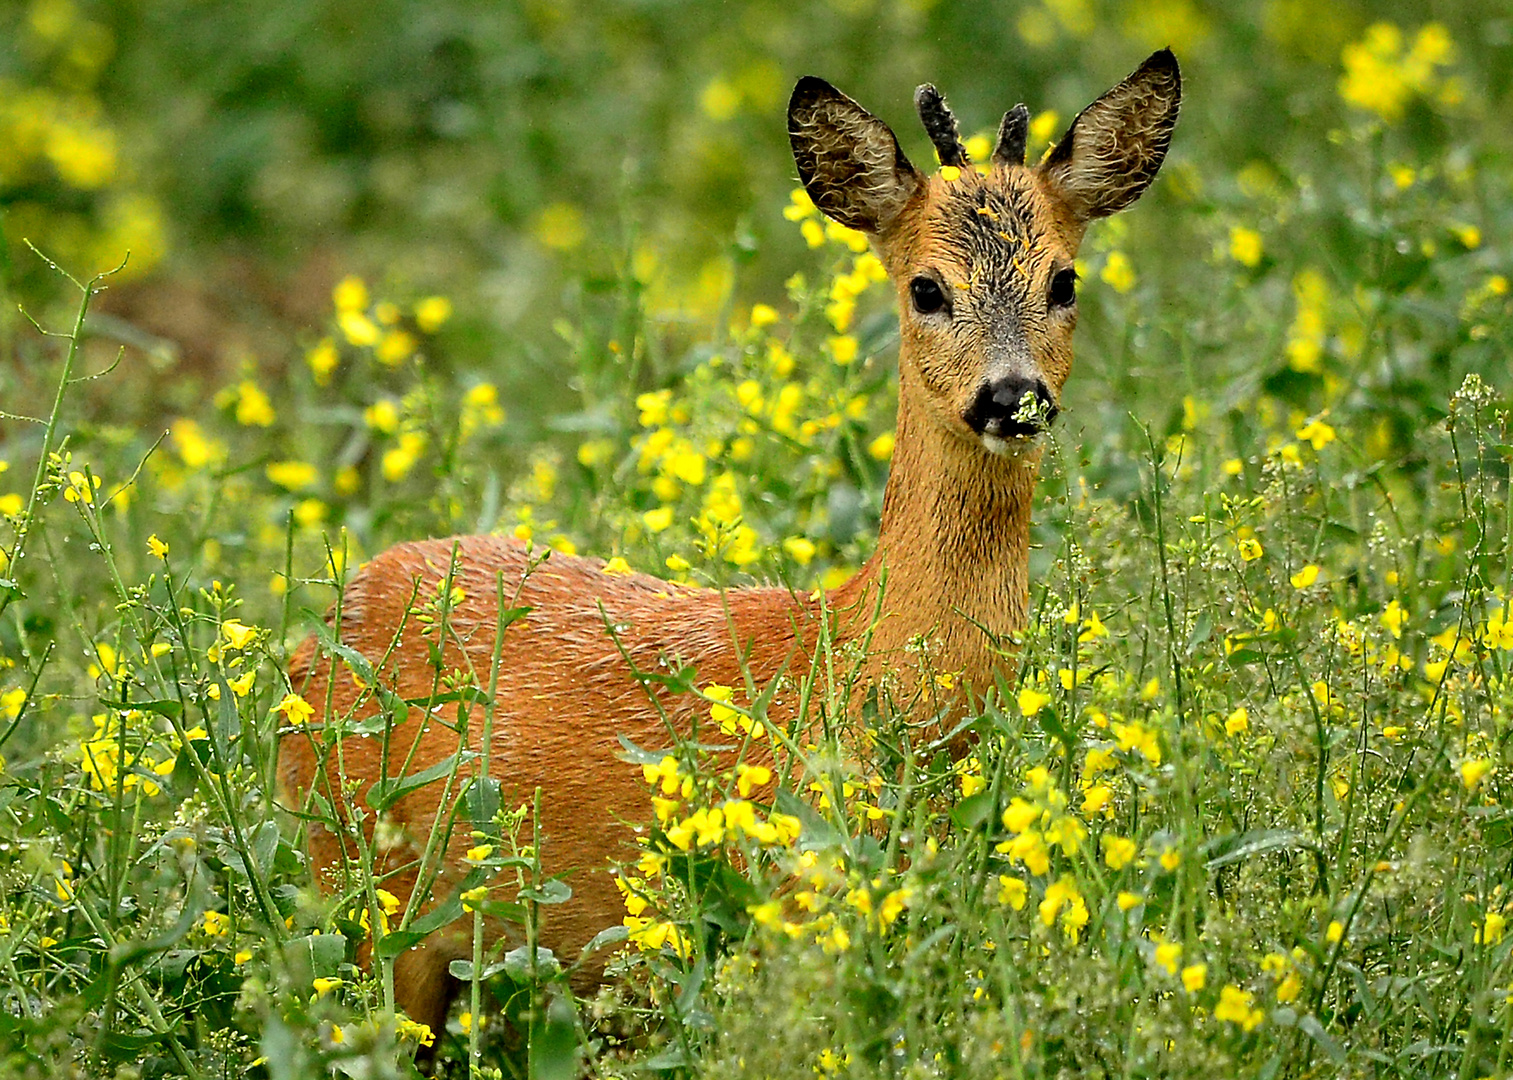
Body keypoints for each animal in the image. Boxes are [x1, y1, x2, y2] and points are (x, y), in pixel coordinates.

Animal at [284, 52, 1180, 1034]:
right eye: (925, 287)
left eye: (1064, 281)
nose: (1011, 397)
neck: (855, 664)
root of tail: (315, 634)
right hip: (360, 886)